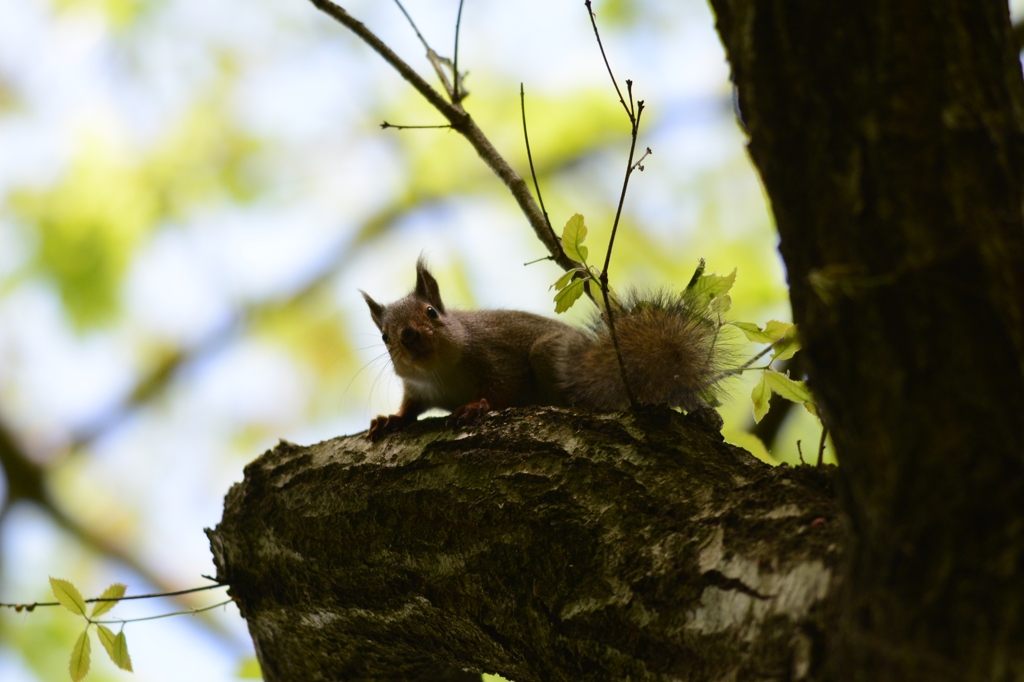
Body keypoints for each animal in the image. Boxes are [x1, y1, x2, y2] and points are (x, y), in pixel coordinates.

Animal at [360, 256, 729, 440]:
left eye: (431, 312)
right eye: (385, 337)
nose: (408, 336)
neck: (440, 373)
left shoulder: (495, 357)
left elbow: (501, 386)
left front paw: (476, 405)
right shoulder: (418, 389)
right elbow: (410, 408)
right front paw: (392, 419)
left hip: (552, 356)